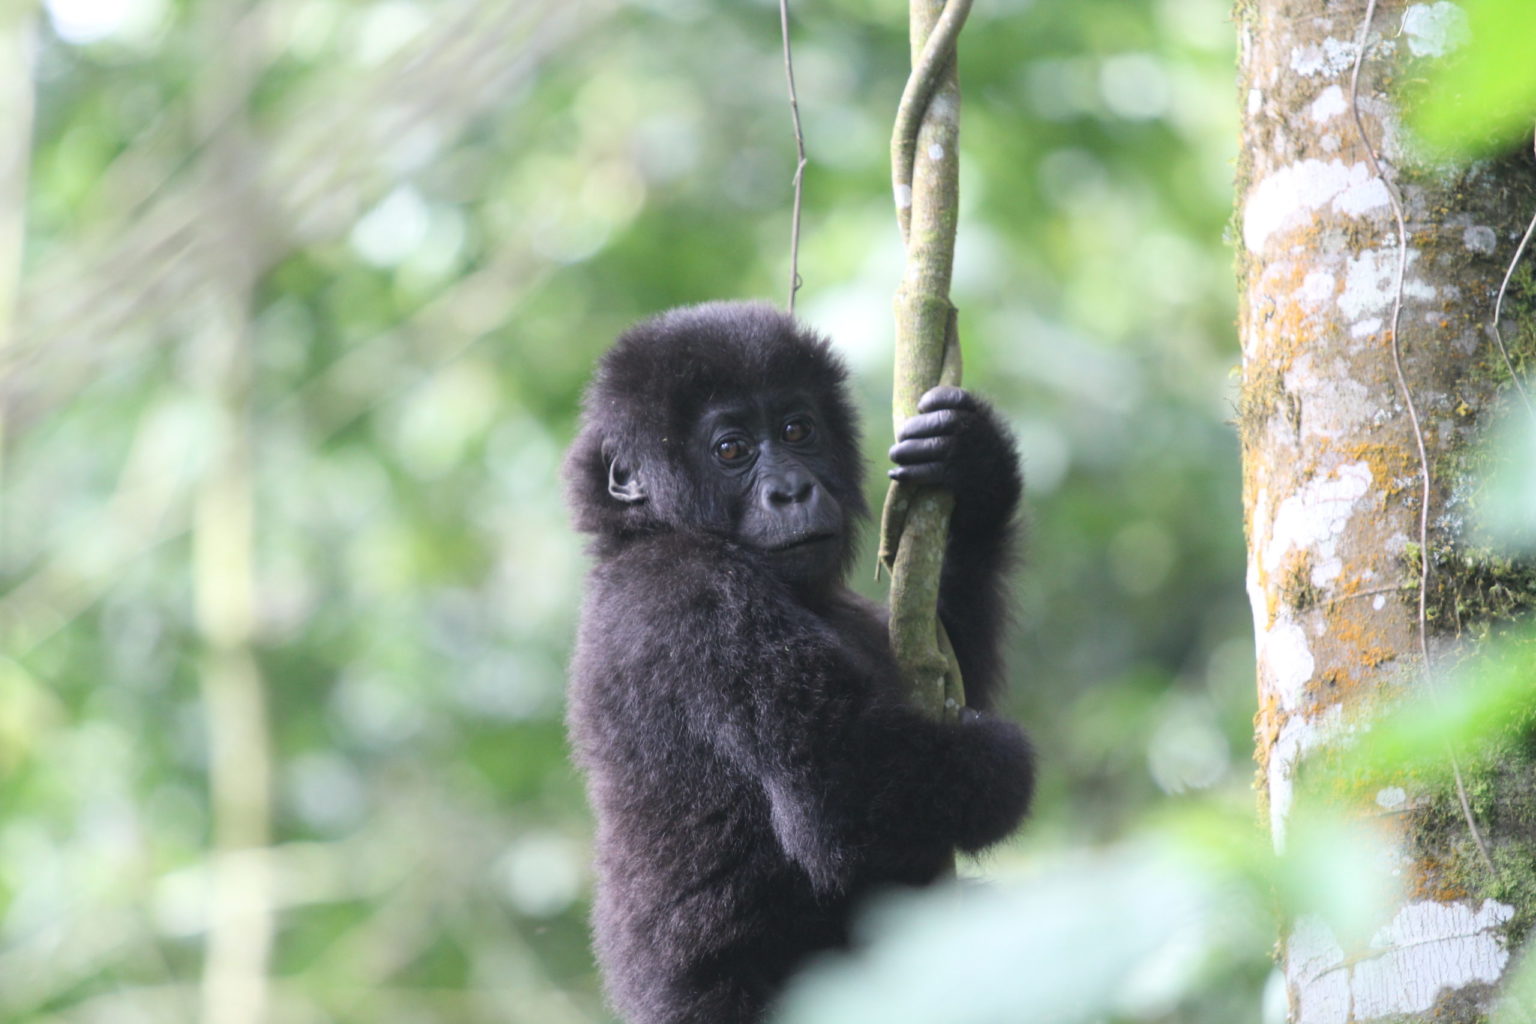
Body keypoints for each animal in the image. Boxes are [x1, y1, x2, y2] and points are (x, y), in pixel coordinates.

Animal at [565, 302, 1032, 1024]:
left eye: (797, 430)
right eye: (731, 450)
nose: (791, 490)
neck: (647, 532)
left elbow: (947, 668)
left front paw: (974, 467)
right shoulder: (695, 597)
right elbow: (840, 791)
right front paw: (1002, 768)